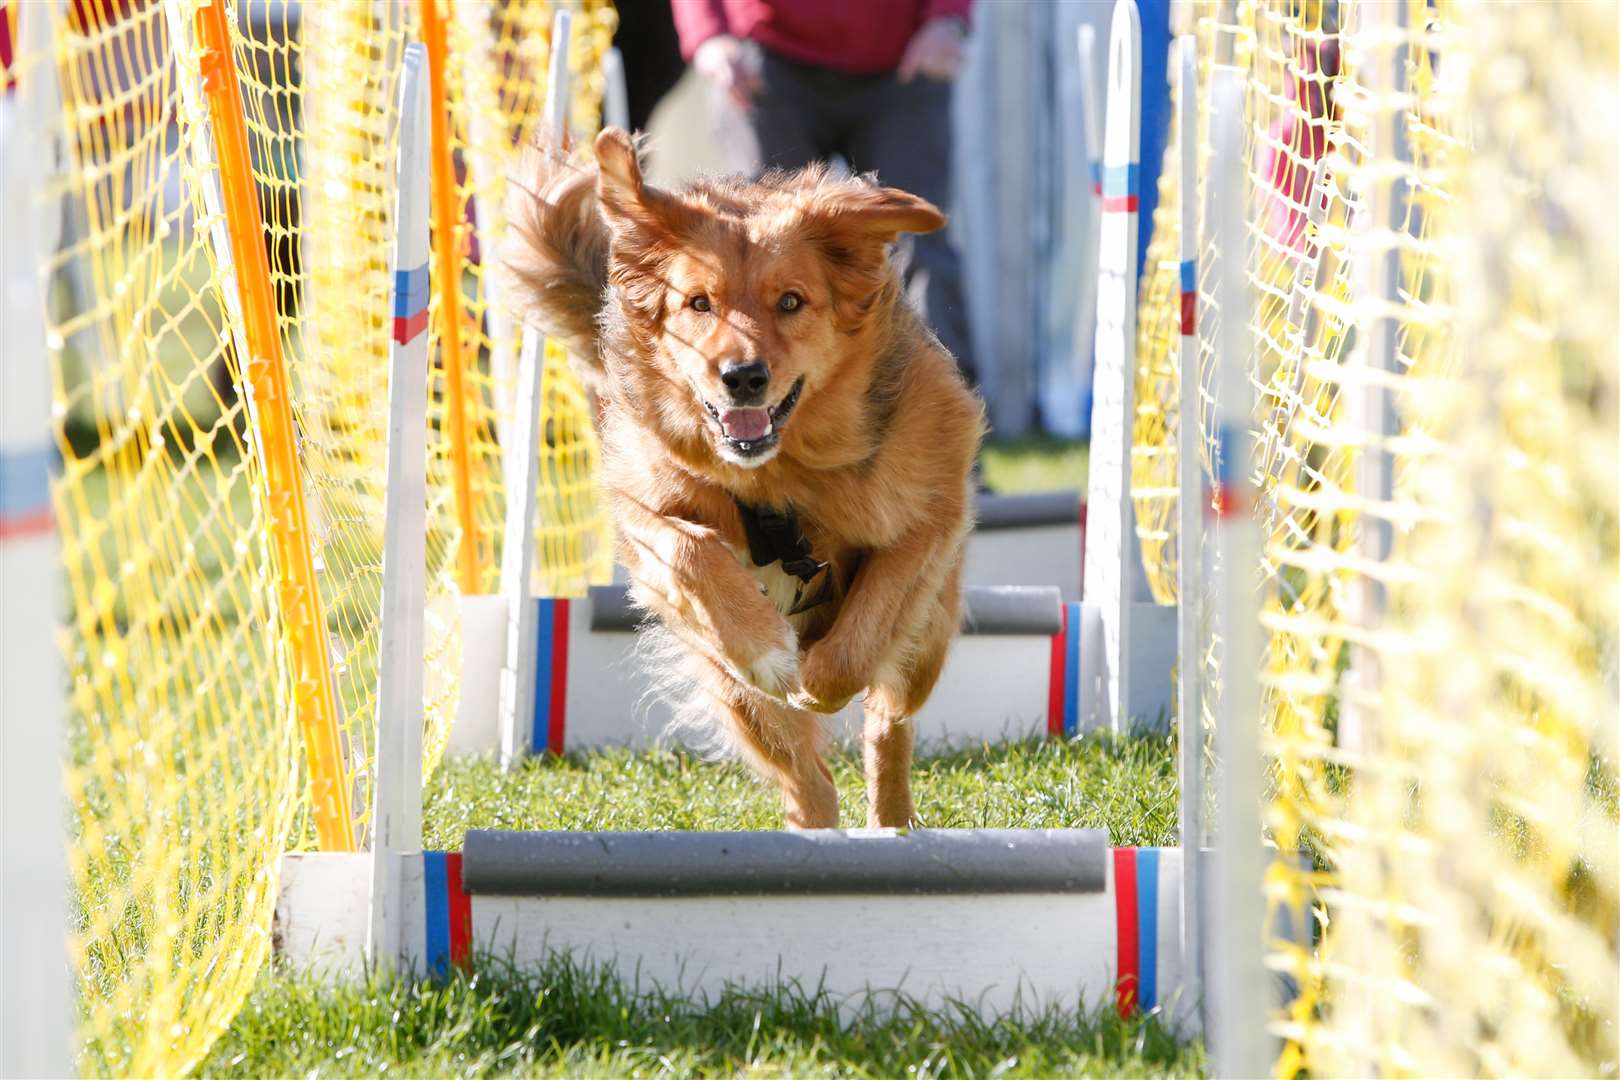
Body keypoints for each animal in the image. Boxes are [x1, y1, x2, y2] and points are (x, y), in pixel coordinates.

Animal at [511, 132, 978, 829]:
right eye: (698, 303)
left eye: (791, 301)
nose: (742, 377)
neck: (778, 477)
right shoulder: (644, 505)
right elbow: (688, 548)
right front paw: (766, 648)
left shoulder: (931, 515)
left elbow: (861, 637)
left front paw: (817, 679)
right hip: (733, 689)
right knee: (806, 778)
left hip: (925, 642)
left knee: (888, 719)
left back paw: (891, 819)